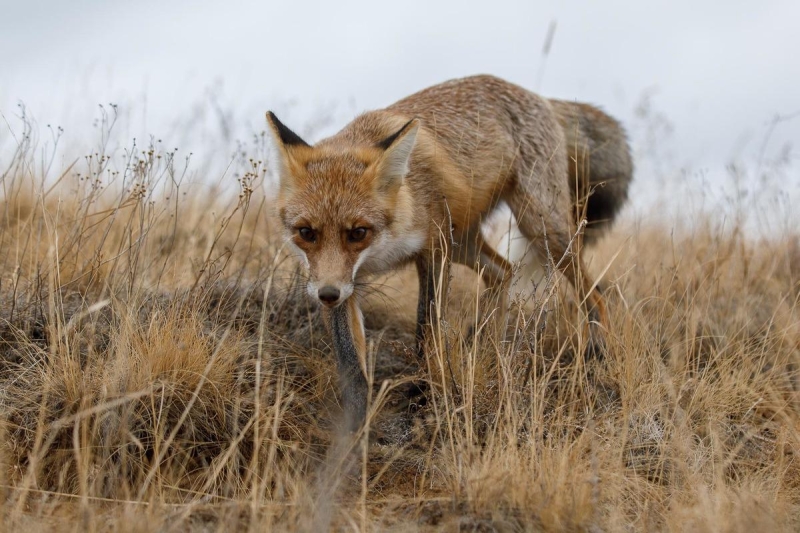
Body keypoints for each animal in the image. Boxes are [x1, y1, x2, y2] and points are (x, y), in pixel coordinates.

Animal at [266, 74, 636, 428]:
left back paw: (599, 351)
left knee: (596, 292)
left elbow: (426, 332)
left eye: (358, 232)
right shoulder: (340, 280)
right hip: (466, 242)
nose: (326, 296)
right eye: (306, 233)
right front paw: (353, 430)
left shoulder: (434, 250)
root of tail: (537, 96)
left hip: (542, 227)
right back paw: (489, 348)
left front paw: (428, 396)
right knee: (503, 272)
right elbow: (351, 365)